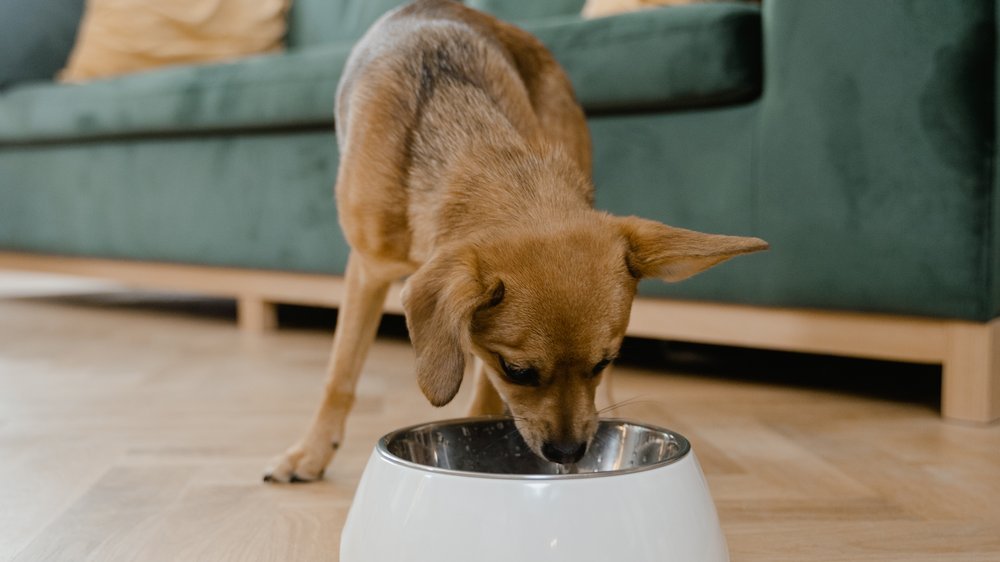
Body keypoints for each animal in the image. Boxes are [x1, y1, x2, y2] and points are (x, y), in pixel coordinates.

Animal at [264, 0, 764, 482]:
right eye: (518, 371)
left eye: (602, 362)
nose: (569, 452)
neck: (472, 146)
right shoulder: (367, 271)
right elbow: (340, 375)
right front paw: (310, 451)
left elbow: (482, 396)